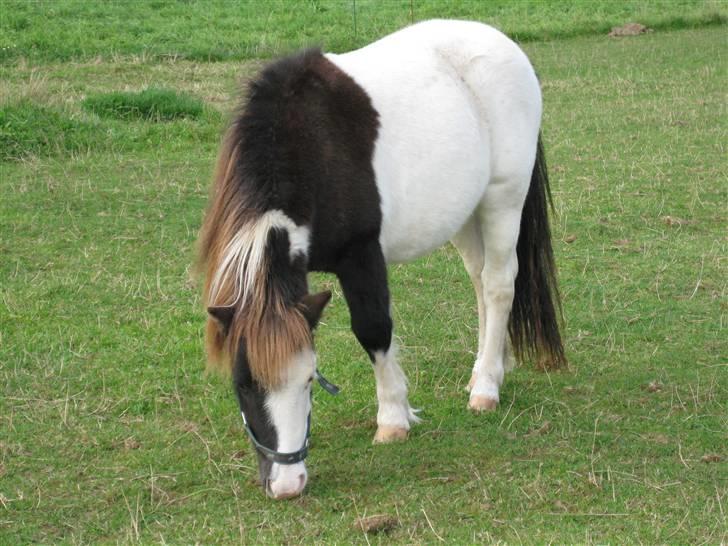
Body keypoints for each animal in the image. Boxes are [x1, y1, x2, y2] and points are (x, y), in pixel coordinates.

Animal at [198, 20, 564, 498]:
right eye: (243, 384)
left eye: (309, 380)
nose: (288, 484)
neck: (308, 144)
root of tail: (502, 42)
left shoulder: (362, 256)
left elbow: (373, 330)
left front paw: (393, 419)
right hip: (466, 213)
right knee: (480, 281)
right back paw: (490, 367)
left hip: (503, 198)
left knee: (500, 285)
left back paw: (485, 388)